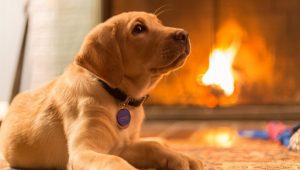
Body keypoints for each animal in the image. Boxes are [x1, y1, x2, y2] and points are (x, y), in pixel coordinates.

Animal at [0, 11, 202, 169]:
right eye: (138, 29)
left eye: (159, 23)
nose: (184, 34)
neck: (119, 96)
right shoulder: (83, 151)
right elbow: (113, 161)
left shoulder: (122, 146)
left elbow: (152, 146)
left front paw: (181, 157)